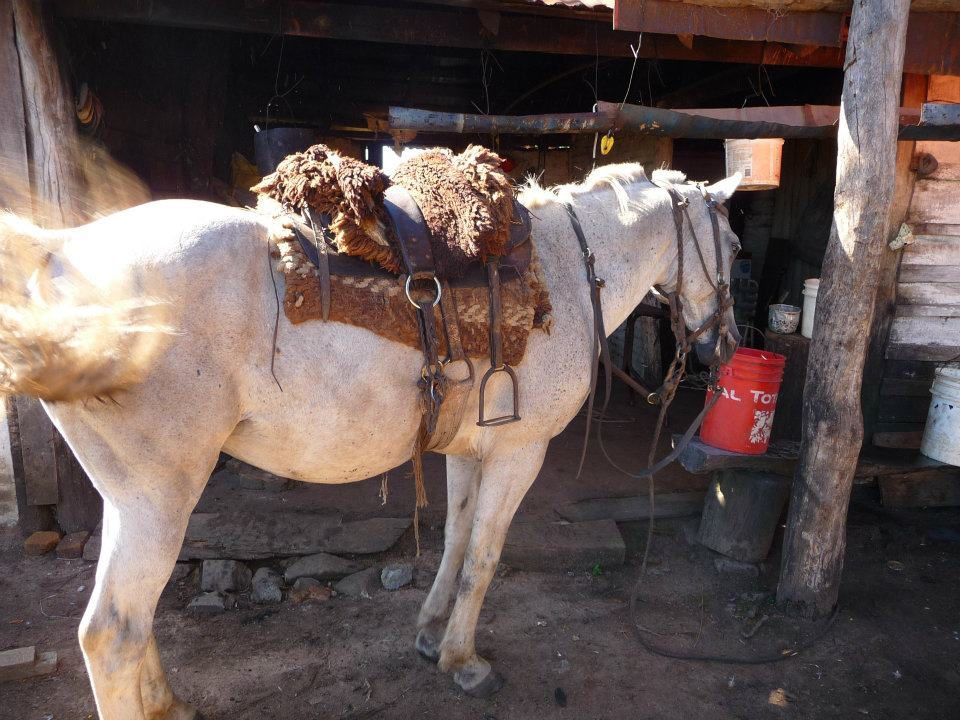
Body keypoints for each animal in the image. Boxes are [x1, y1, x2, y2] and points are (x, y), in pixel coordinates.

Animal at [0, 160, 744, 716]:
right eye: (735, 247)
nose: (728, 344)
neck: (560, 271)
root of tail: (62, 252)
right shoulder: (518, 453)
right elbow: (484, 558)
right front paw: (464, 663)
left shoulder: (470, 451)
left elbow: (455, 543)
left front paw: (431, 637)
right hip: (156, 498)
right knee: (112, 633)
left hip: (132, 500)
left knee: (133, 622)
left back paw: (170, 704)